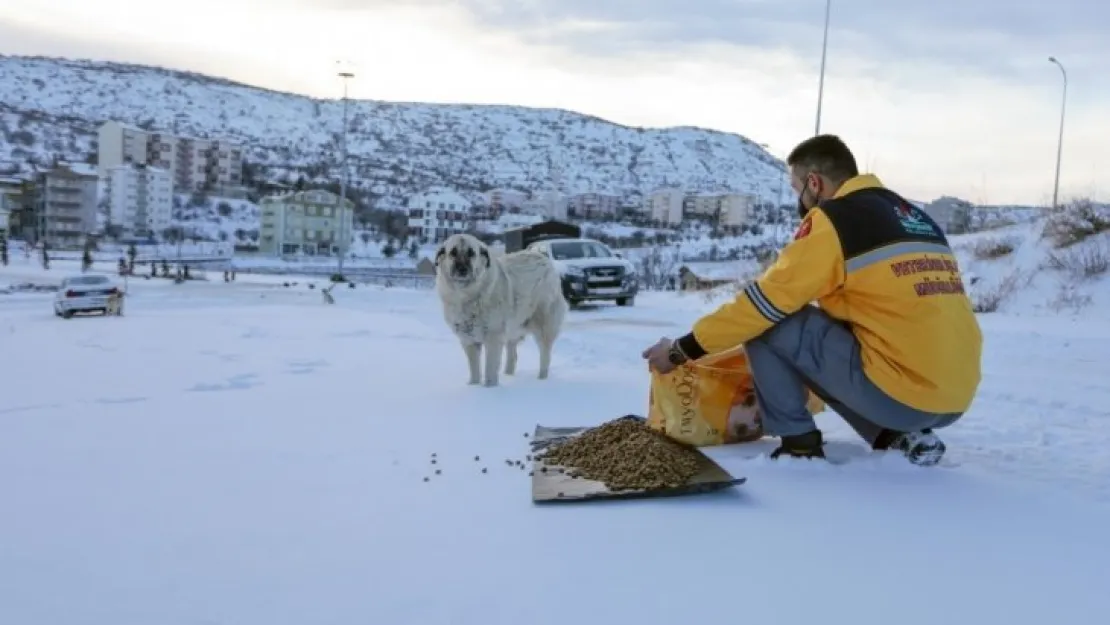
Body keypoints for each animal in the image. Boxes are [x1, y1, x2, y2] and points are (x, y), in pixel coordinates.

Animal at [432, 233, 568, 386]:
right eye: (453, 253)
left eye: (471, 253)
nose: (462, 269)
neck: (466, 294)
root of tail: (544, 259)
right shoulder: (468, 340)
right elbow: (474, 369)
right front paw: (473, 386)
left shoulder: (493, 338)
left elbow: (490, 369)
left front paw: (489, 388)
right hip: (514, 330)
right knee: (513, 355)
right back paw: (509, 375)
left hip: (543, 328)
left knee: (545, 357)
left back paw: (541, 381)